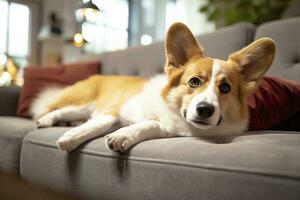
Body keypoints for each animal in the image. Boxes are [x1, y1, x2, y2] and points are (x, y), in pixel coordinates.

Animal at [31, 22, 276, 152]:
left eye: (225, 88)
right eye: (194, 81)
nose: (205, 110)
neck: (173, 112)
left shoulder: (167, 128)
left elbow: (148, 125)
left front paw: (123, 135)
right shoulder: (116, 109)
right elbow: (100, 123)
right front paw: (70, 139)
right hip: (83, 102)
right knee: (59, 109)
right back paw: (50, 120)